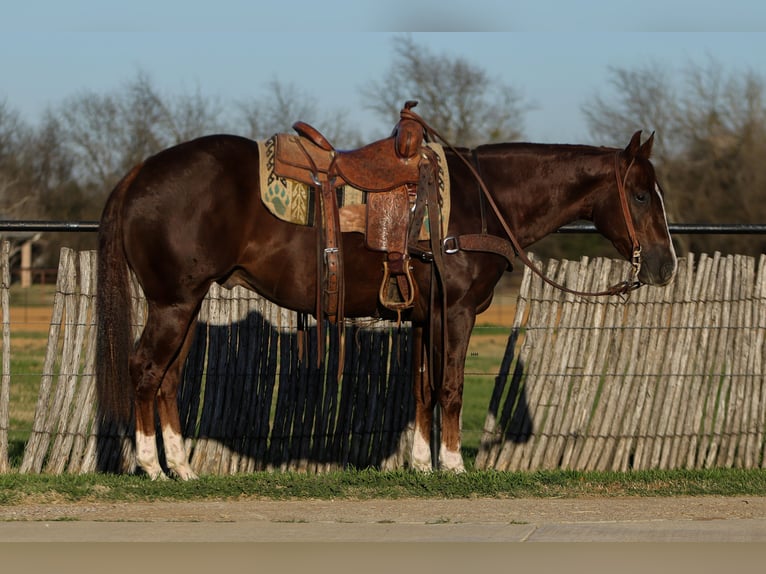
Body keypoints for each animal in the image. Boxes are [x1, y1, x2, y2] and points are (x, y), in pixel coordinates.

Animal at [96, 128, 677, 480]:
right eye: (640, 194)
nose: (665, 265)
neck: (479, 202)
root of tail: (140, 172)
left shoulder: (424, 316)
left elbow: (421, 389)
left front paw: (420, 465)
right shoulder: (456, 313)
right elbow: (450, 386)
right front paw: (454, 465)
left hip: (186, 306)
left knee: (168, 378)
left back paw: (183, 468)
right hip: (173, 303)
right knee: (144, 370)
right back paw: (150, 466)